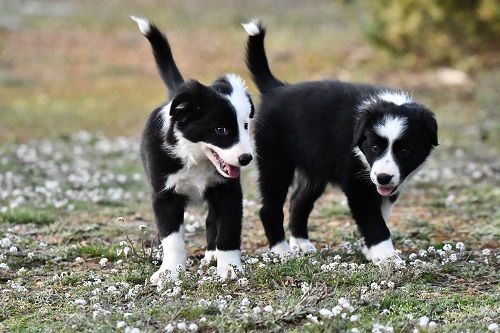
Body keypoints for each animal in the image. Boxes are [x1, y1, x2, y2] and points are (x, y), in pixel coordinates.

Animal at [131, 17, 254, 282]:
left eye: (246, 126)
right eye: (220, 129)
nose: (246, 158)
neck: (195, 159)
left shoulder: (228, 191)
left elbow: (228, 231)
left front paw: (230, 268)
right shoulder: (164, 196)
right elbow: (172, 238)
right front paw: (169, 272)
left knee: (211, 221)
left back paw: (213, 254)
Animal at [242, 20, 438, 260]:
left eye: (404, 152)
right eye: (374, 147)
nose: (383, 177)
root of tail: (276, 88)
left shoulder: (386, 186)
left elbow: (379, 215)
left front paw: (370, 251)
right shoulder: (358, 185)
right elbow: (375, 223)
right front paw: (386, 258)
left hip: (313, 169)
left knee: (298, 202)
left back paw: (302, 243)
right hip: (275, 162)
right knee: (269, 208)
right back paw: (282, 250)